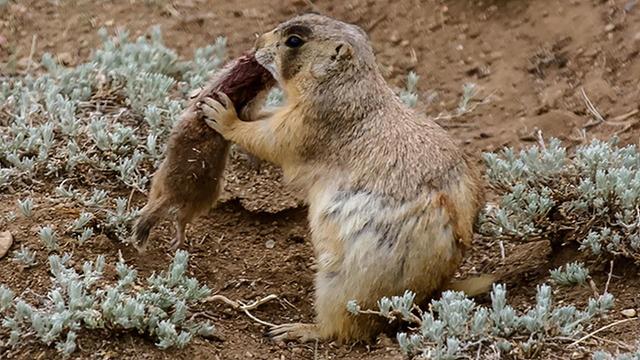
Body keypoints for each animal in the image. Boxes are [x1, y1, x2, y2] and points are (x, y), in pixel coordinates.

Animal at [200, 14, 484, 344]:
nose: (256, 43)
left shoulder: (309, 121)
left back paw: (294, 329)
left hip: (345, 281)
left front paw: (221, 112)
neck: (345, 84)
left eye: (294, 41)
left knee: (342, 328)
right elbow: (268, 119)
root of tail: (431, 290)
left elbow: (272, 137)